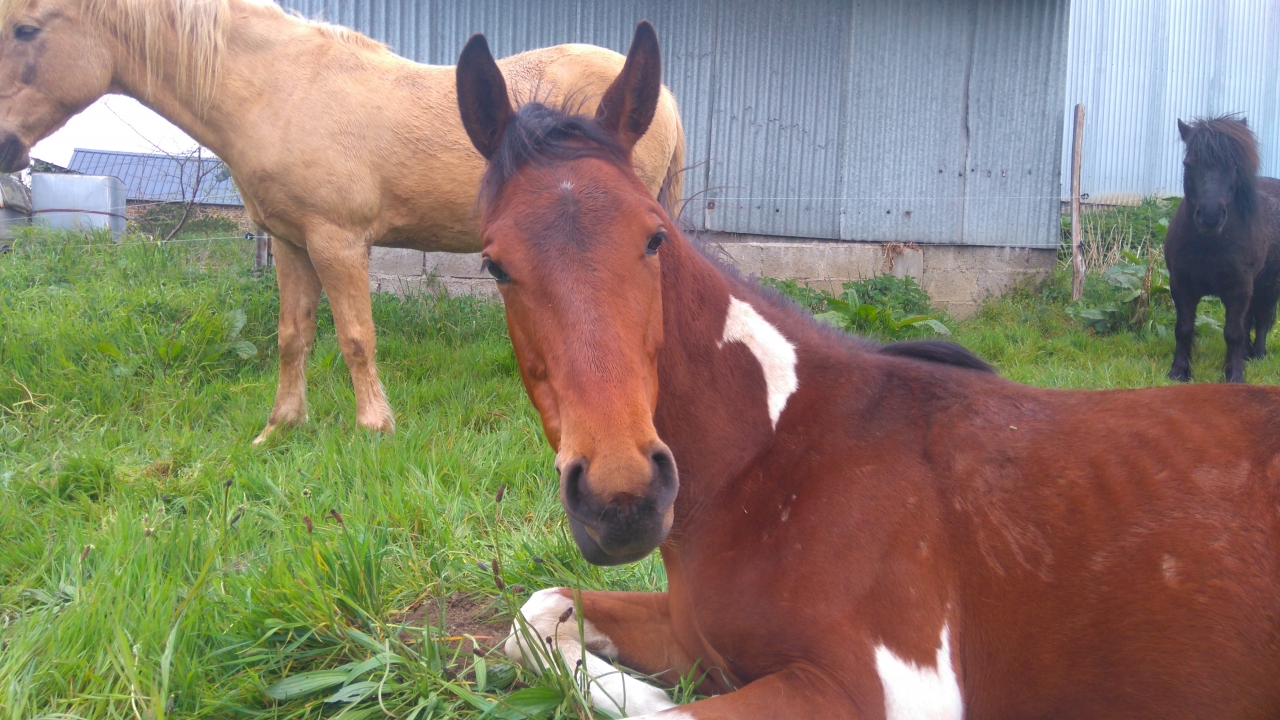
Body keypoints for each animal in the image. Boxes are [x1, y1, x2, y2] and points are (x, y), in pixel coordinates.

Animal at [0, 0, 685, 443]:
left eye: (25, 28)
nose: (6, 148)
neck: (281, 89)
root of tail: (665, 98)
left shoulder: (338, 240)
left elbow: (357, 337)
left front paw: (374, 428)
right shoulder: (290, 242)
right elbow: (292, 336)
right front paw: (280, 429)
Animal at [1165, 115, 1280, 383]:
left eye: (1234, 166)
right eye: (1189, 163)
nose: (1210, 217)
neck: (1210, 245)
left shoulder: (1238, 289)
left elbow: (1233, 333)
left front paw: (1234, 376)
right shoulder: (1182, 286)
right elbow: (1183, 329)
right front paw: (1178, 372)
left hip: (1269, 285)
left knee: (1263, 318)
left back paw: (1258, 354)